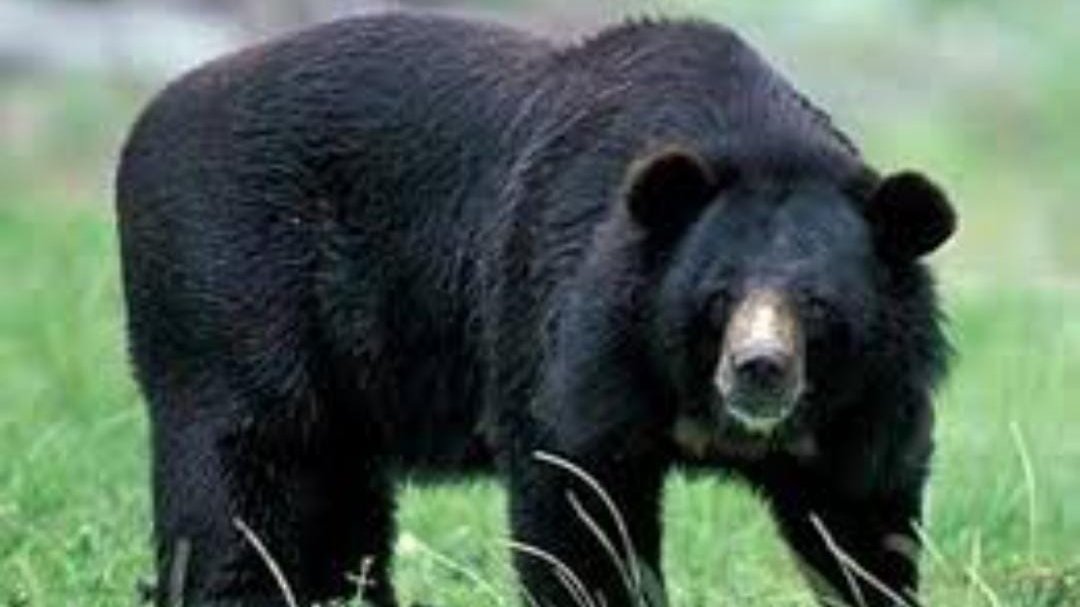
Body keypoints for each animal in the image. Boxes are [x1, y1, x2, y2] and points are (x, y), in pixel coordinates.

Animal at [116, 12, 956, 607]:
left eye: (818, 303)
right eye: (716, 297)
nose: (759, 372)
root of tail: (146, 121)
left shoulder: (862, 401)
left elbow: (863, 513)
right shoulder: (579, 333)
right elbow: (575, 492)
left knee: (337, 495)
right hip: (227, 280)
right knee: (244, 463)